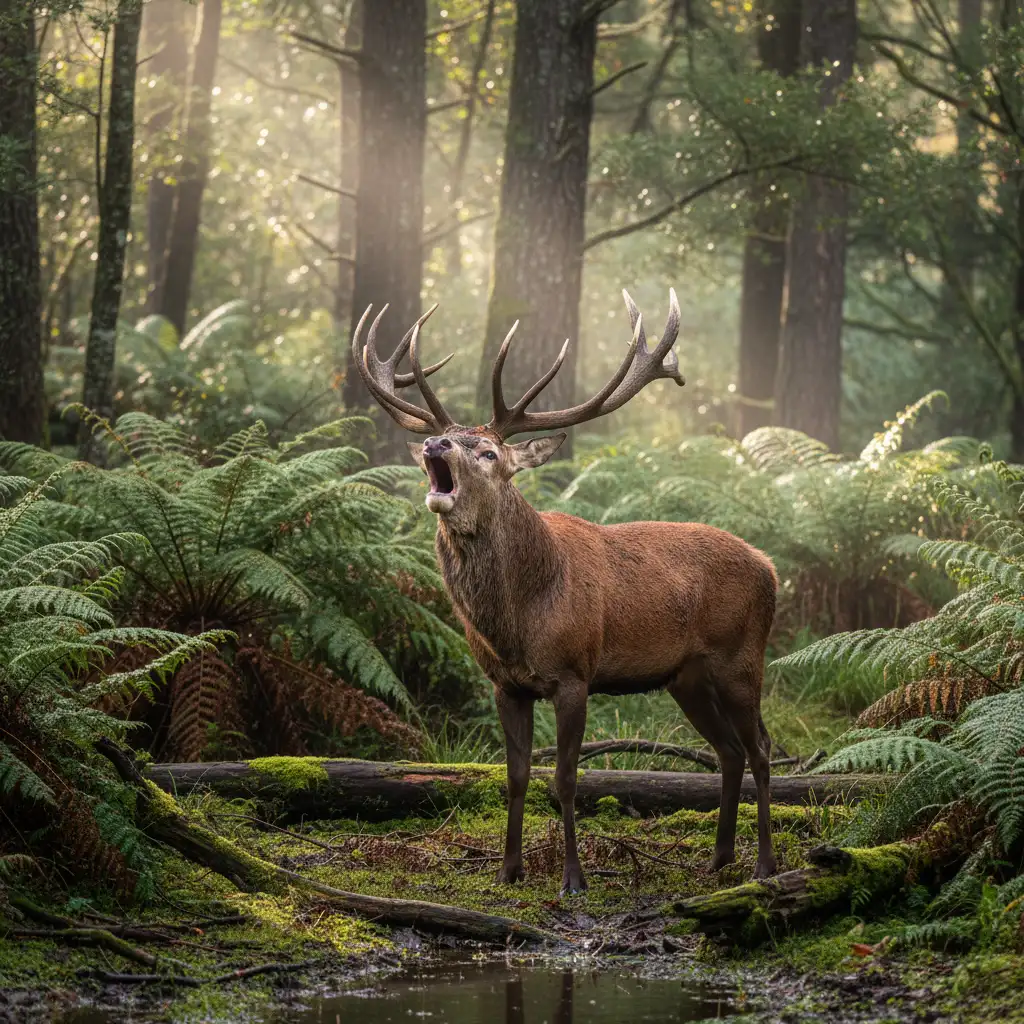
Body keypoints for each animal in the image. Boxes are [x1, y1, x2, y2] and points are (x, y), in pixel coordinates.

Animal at [351, 290, 778, 894]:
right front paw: (508, 870)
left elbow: (567, 777)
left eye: (488, 453)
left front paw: (572, 877)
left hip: (740, 657)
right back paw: (717, 859)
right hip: (687, 677)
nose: (435, 441)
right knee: (730, 751)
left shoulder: (575, 673)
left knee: (761, 750)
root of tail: (771, 568)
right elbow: (516, 776)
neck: (520, 620)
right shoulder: (506, 684)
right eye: (447, 440)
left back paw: (763, 865)